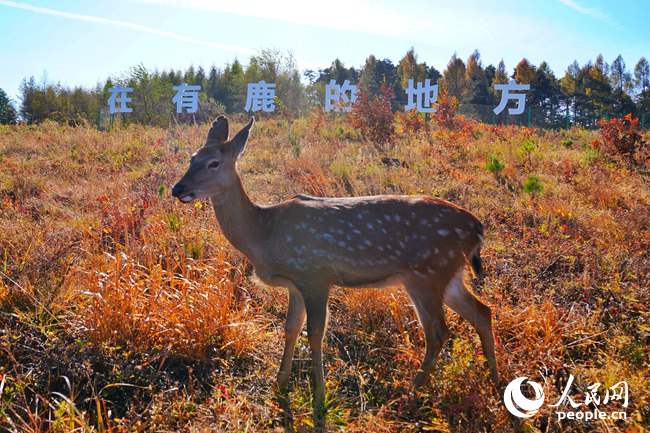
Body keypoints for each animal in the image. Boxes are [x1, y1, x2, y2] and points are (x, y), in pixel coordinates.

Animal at [171, 116, 497, 426]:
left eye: (214, 163)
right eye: (192, 157)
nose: (178, 188)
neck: (265, 233)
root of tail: (477, 229)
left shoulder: (315, 275)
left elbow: (315, 333)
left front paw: (319, 395)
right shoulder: (295, 283)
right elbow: (291, 328)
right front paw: (280, 383)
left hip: (426, 273)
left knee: (439, 332)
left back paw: (411, 395)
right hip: (448, 274)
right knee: (483, 311)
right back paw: (494, 382)